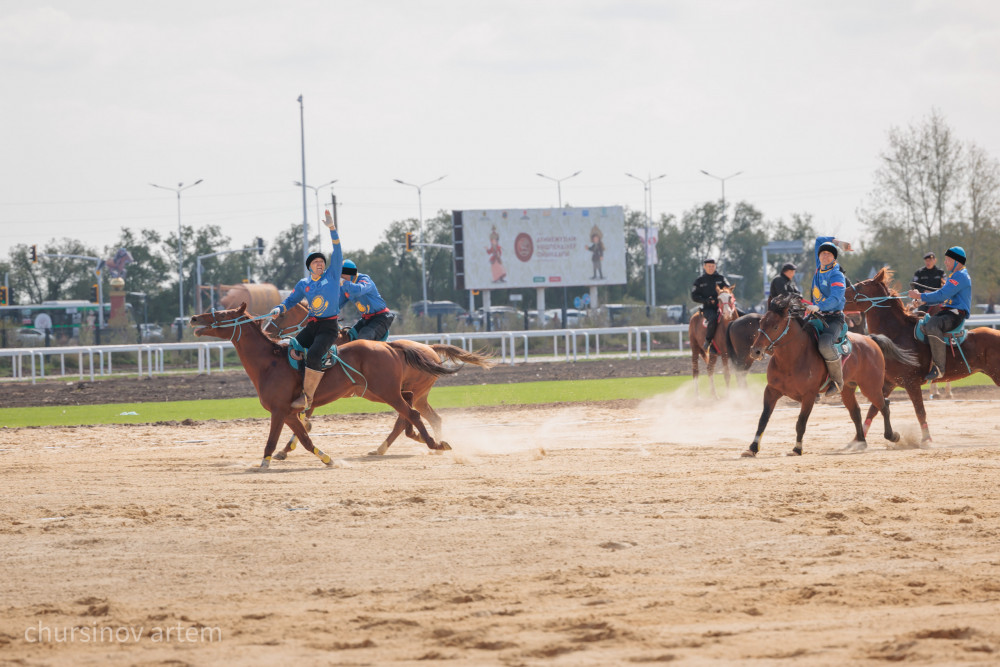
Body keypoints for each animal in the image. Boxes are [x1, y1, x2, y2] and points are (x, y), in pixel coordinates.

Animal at [191, 304, 458, 470]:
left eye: (222, 314)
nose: (194, 318)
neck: (270, 361)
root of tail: (392, 347)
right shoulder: (289, 413)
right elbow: (304, 437)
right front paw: (324, 459)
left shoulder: (279, 410)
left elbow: (275, 438)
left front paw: (267, 461)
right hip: (381, 392)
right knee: (414, 411)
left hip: (387, 392)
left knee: (411, 414)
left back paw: (434, 444)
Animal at [744, 294, 916, 456]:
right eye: (761, 323)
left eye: (775, 326)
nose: (755, 351)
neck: (793, 359)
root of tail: (870, 339)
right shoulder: (771, 391)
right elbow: (763, 420)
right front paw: (752, 448)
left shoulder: (809, 396)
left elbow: (801, 423)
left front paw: (797, 449)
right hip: (847, 389)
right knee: (856, 412)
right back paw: (861, 442)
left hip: (870, 387)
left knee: (884, 405)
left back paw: (892, 436)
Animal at [848, 266, 1000, 444]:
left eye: (860, 286)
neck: (897, 334)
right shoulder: (887, 384)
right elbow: (874, 409)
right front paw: (856, 441)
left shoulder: (911, 383)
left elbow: (919, 411)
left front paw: (926, 440)